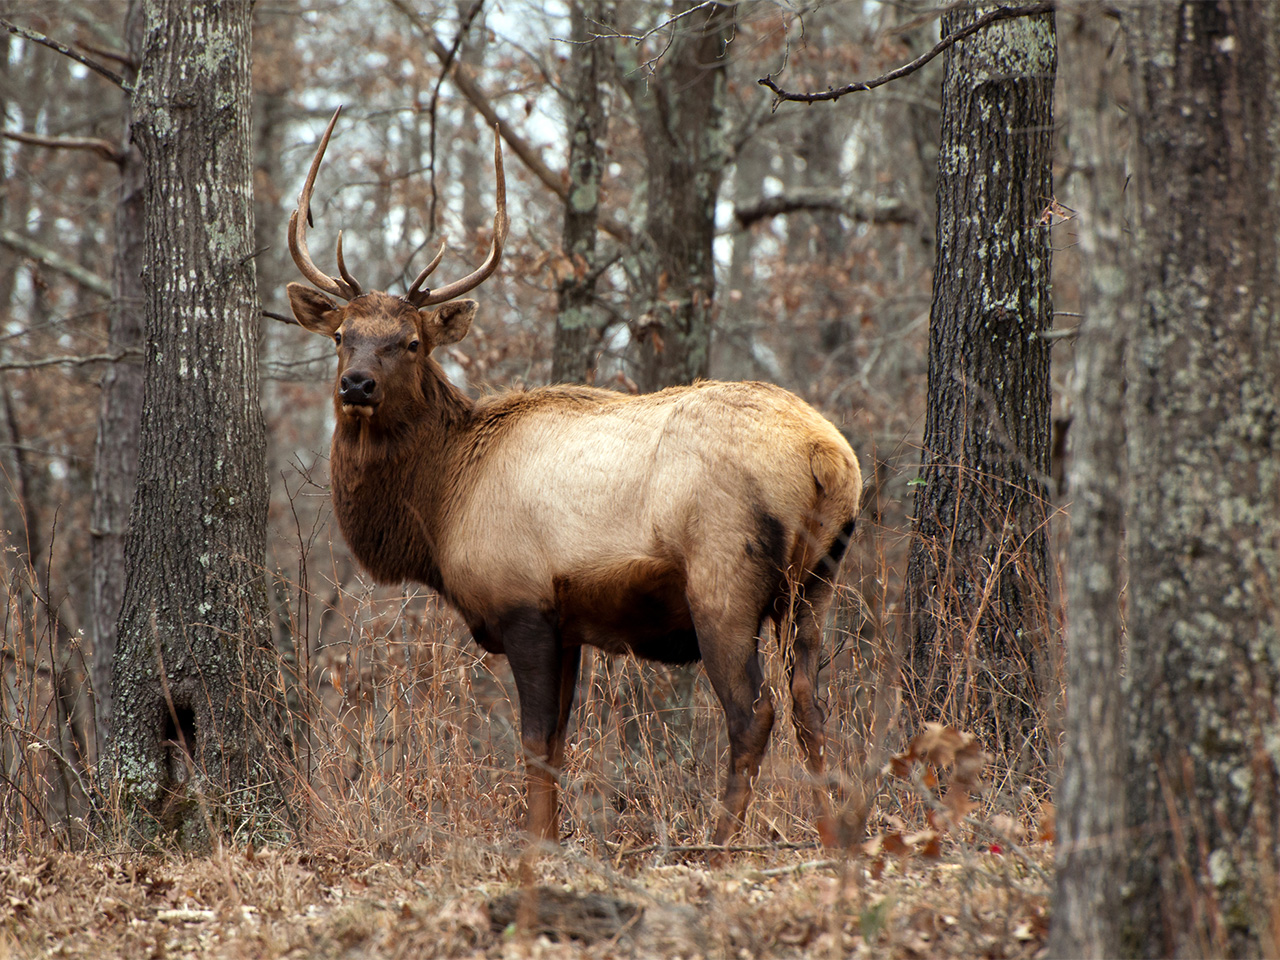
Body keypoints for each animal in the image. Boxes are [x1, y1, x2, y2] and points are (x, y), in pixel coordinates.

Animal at [286, 106, 865, 849]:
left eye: (410, 342)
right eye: (341, 337)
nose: (356, 384)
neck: (442, 506)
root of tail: (827, 456)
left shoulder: (524, 604)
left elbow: (536, 744)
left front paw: (536, 845)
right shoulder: (568, 626)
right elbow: (560, 745)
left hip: (724, 577)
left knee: (753, 712)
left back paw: (718, 843)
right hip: (817, 582)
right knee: (810, 703)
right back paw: (834, 835)